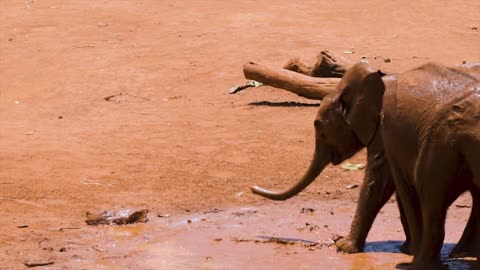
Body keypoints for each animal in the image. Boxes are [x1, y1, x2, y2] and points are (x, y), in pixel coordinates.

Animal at [251, 61, 480, 268]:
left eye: (320, 127)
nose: (253, 188)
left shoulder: (382, 130)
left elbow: (379, 182)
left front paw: (343, 247)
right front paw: (404, 250)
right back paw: (461, 254)